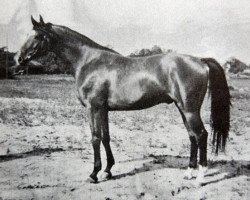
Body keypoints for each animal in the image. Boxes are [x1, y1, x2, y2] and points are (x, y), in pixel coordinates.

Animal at [15, 15, 230, 184]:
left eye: (37, 36)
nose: (19, 59)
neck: (89, 61)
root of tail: (200, 61)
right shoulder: (104, 109)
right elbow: (106, 138)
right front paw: (108, 171)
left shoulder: (93, 108)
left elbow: (95, 138)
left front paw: (94, 174)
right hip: (182, 108)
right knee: (192, 136)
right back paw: (189, 173)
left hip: (190, 110)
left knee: (201, 135)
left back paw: (200, 177)